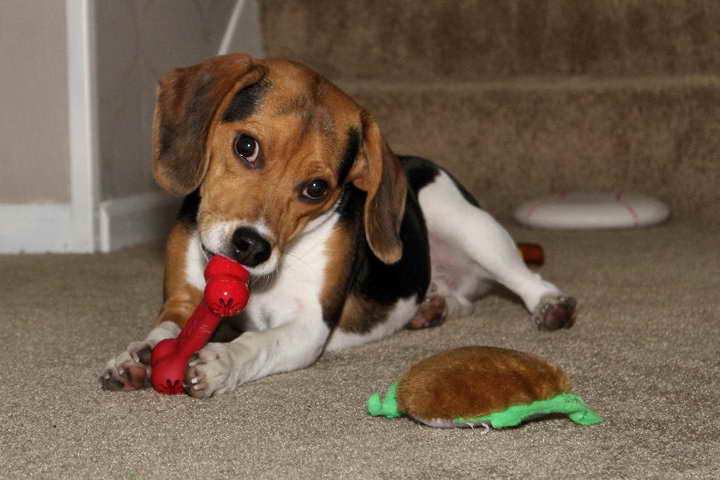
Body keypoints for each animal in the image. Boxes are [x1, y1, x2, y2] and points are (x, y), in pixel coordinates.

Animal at [101, 53, 576, 398]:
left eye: (316, 188)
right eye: (246, 146)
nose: (251, 246)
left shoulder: (310, 325)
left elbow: (256, 343)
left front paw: (220, 362)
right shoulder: (183, 298)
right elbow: (166, 329)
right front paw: (136, 356)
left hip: (466, 223)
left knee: (525, 278)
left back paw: (551, 305)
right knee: (464, 300)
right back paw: (434, 306)